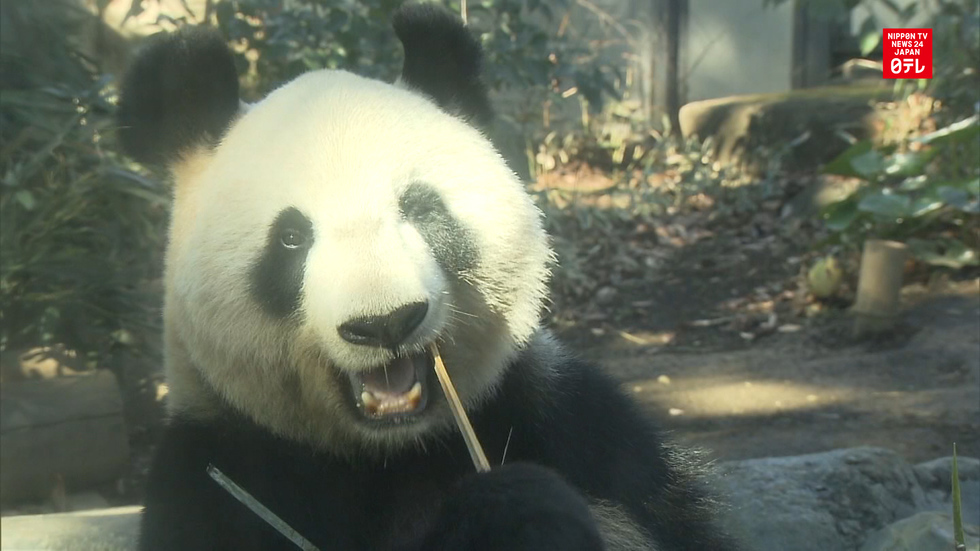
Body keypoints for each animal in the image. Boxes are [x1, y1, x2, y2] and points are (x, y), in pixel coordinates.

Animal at [116, 4, 740, 551]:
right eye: (291, 238)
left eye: (420, 209)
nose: (385, 323)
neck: (391, 452)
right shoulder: (221, 470)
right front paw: (508, 513)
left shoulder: (562, 417)